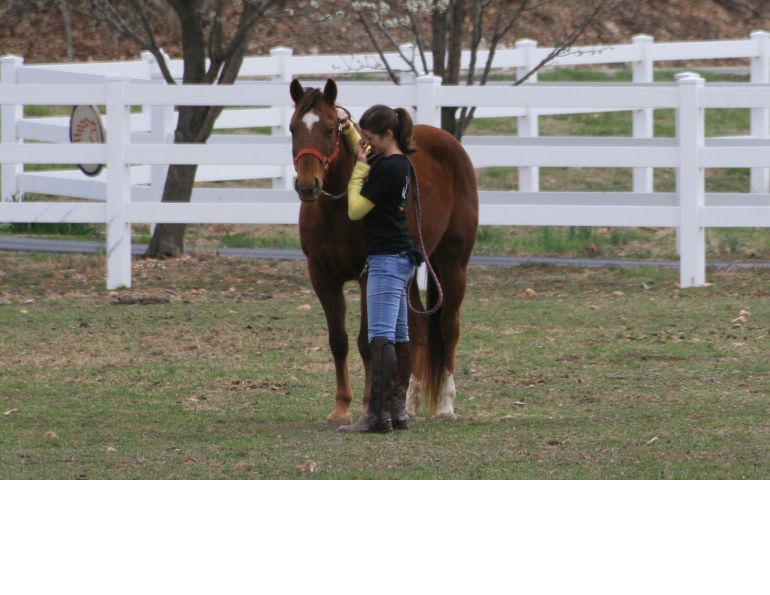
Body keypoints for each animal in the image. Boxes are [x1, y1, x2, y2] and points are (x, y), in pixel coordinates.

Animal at [289, 78, 478, 422]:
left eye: (329, 129)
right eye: (294, 128)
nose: (308, 185)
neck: (338, 211)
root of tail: (448, 142)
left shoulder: (368, 274)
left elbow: (367, 341)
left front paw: (366, 405)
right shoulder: (321, 277)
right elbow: (338, 340)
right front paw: (341, 408)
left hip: (452, 264)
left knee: (448, 327)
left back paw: (445, 404)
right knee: (419, 329)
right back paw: (408, 402)